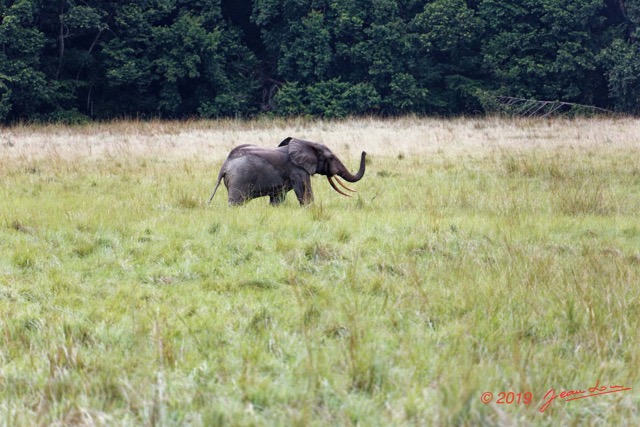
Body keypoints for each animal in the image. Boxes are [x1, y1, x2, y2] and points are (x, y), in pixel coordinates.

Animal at [209, 136, 364, 205]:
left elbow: (277, 198)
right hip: (238, 179)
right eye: (330, 157)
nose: (364, 152)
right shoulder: (298, 171)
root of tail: (225, 166)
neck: (307, 142)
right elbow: (304, 192)